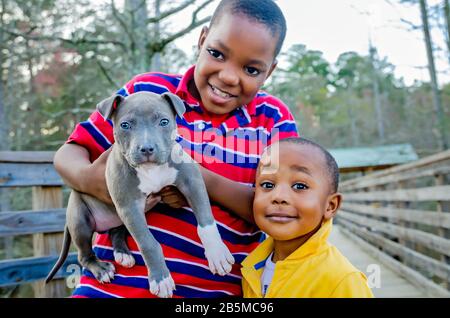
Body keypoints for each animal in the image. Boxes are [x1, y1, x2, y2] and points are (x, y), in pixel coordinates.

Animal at [46, 91, 236, 298]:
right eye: (125, 125)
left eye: (163, 121)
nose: (146, 148)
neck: (151, 169)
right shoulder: (130, 206)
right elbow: (148, 243)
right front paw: (161, 279)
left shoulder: (192, 183)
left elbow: (206, 222)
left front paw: (217, 254)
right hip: (81, 219)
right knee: (84, 255)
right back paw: (102, 269)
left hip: (118, 216)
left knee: (115, 231)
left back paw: (123, 254)